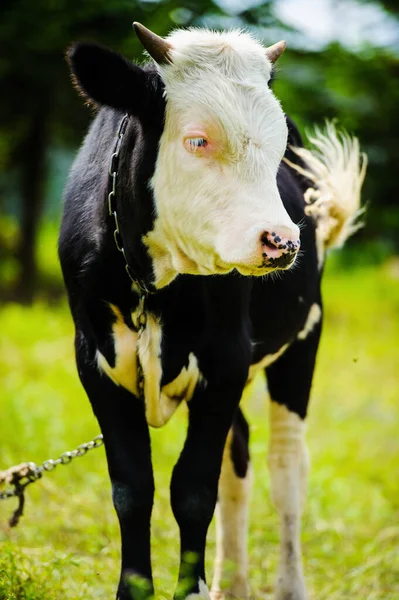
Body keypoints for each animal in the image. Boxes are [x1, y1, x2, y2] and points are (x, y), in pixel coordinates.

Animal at [57, 23, 368, 600]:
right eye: (198, 139)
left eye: (277, 144)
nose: (283, 241)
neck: (152, 284)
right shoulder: (96, 361)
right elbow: (133, 488)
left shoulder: (225, 360)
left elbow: (194, 489)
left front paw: (192, 587)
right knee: (238, 460)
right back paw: (233, 583)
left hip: (301, 342)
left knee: (286, 470)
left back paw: (288, 585)